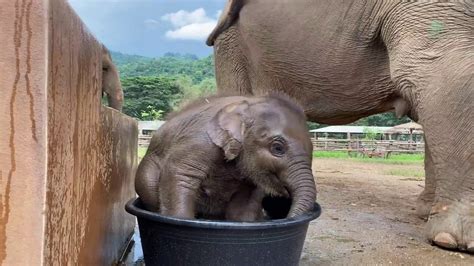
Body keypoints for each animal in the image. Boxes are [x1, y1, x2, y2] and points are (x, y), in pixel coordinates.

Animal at [135, 94, 316, 220]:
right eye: (278, 148)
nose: (284, 214)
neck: (249, 103)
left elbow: (243, 206)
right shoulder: (199, 142)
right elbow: (180, 175)